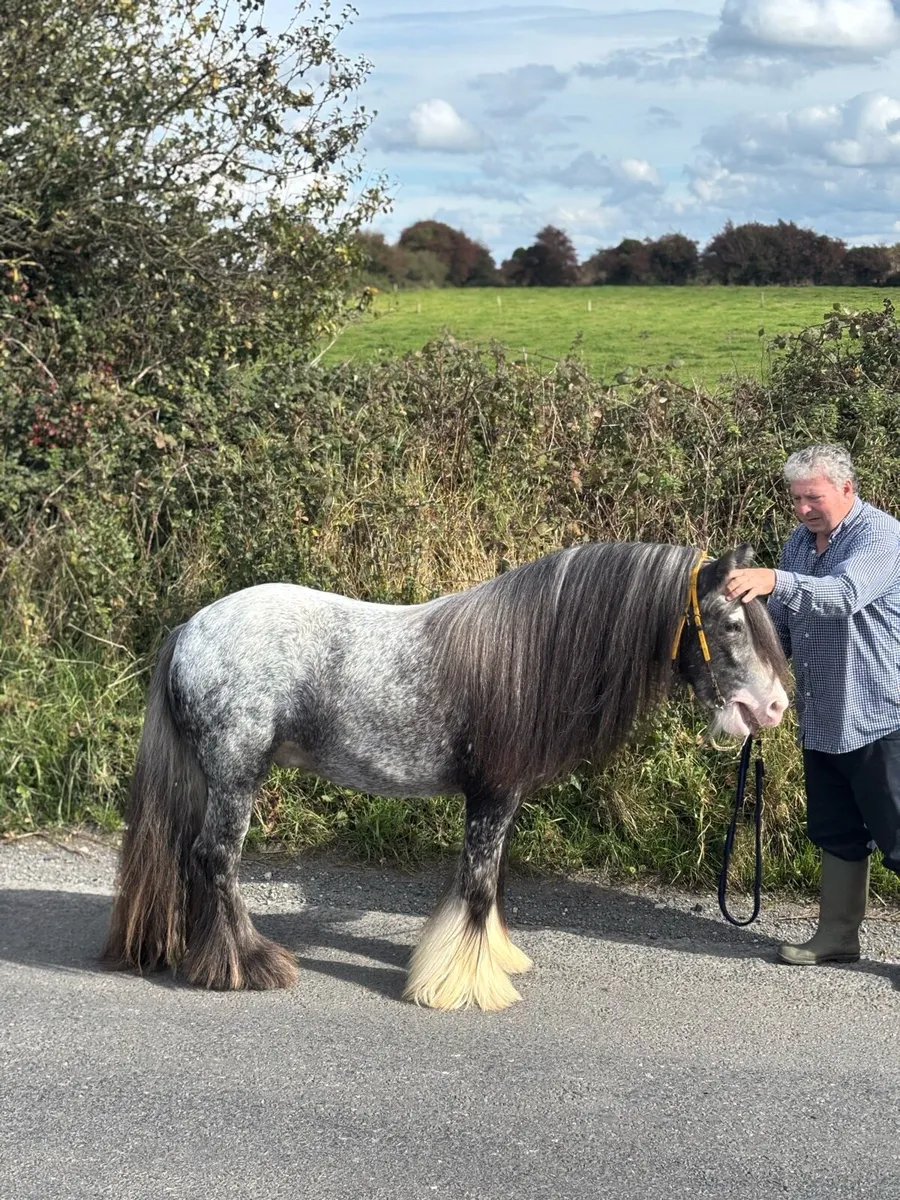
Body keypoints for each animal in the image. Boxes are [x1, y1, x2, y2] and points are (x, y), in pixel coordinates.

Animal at [102, 541, 790, 1010]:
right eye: (732, 624)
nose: (775, 708)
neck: (523, 658)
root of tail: (191, 628)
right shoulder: (491, 797)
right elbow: (480, 887)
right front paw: (465, 985)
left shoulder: (499, 801)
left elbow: (487, 883)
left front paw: (490, 960)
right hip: (235, 776)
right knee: (216, 858)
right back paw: (247, 964)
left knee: (189, 856)